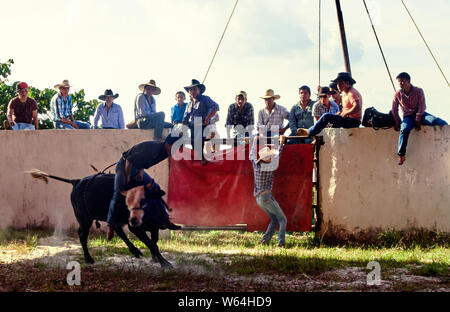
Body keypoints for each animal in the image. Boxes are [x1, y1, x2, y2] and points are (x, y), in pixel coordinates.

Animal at [40, 173, 172, 268]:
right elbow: (151, 244)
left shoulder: (152, 227)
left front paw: (157, 259)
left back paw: (135, 251)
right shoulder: (135, 226)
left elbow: (153, 242)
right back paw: (88, 258)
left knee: (118, 231)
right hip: (84, 219)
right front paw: (165, 263)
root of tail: (76, 181)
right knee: (82, 234)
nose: (165, 221)